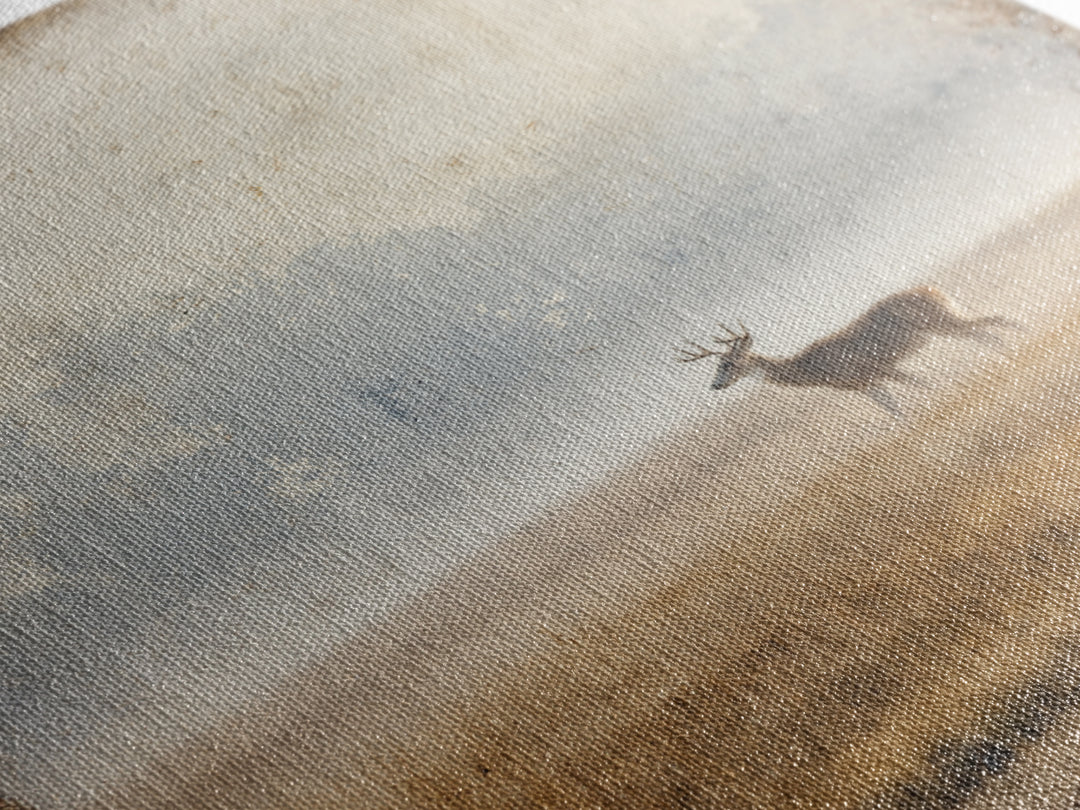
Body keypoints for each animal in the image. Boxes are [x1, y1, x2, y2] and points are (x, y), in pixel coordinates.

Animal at [678, 286, 1017, 415]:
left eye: (730, 364)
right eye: (717, 365)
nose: (715, 385)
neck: (814, 369)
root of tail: (934, 289)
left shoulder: (875, 370)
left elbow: (918, 390)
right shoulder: (866, 382)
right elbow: (899, 408)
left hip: (943, 321)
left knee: (994, 323)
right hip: (945, 324)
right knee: (986, 333)